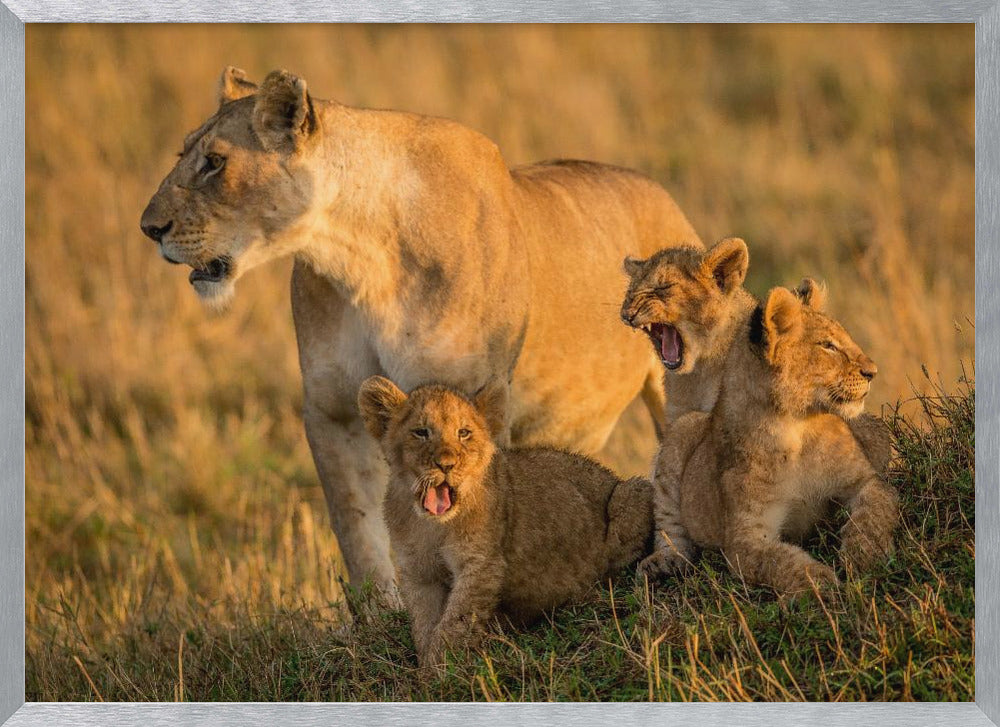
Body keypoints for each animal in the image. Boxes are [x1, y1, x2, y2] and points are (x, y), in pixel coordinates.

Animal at [139, 67, 703, 599]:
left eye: (215, 162)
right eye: (184, 153)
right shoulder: (332, 408)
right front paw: (378, 616)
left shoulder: (472, 400)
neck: (361, 258)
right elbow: (357, 529)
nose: (149, 228)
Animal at [357, 375, 652, 666]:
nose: (446, 464)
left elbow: (454, 623)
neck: (433, 526)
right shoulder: (418, 573)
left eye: (463, 433)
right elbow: (424, 625)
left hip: (633, 493)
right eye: (421, 432)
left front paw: (440, 669)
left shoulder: (481, 565)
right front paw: (428, 668)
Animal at [637, 282, 900, 594]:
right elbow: (780, 561)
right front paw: (822, 583)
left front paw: (863, 555)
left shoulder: (865, 482)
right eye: (828, 346)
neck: (796, 428)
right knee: (669, 525)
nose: (873, 371)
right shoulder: (745, 539)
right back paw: (662, 563)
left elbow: (874, 511)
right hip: (682, 428)